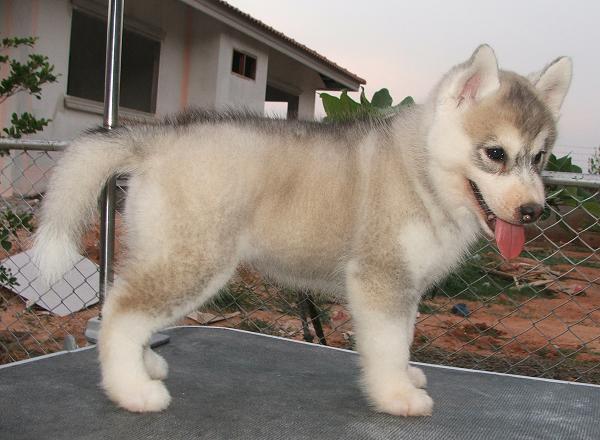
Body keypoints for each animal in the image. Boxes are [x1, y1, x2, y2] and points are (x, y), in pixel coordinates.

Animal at [32, 45, 571, 416]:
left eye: (540, 157)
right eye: (495, 153)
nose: (533, 212)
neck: (422, 171)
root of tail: (157, 138)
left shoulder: (405, 283)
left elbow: (404, 337)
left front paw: (406, 380)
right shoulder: (381, 277)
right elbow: (388, 343)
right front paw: (396, 396)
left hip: (164, 249)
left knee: (130, 303)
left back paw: (144, 365)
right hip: (196, 259)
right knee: (122, 313)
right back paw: (133, 391)